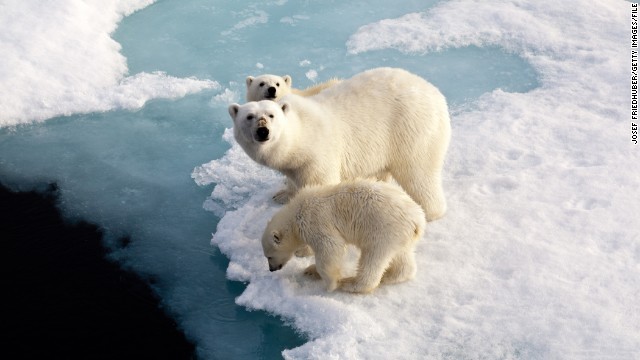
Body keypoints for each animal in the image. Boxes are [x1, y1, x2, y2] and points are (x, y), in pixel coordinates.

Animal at [230, 66, 450, 221]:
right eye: (249, 116)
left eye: (271, 115)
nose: (263, 131)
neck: (300, 133)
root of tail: (436, 94)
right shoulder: (295, 164)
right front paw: (282, 195)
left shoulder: (318, 155)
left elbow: (320, 187)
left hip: (411, 128)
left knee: (419, 173)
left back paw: (429, 212)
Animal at [260, 179, 424, 294]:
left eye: (269, 256)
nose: (271, 269)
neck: (296, 213)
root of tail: (417, 220)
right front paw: (310, 270)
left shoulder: (315, 222)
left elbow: (330, 248)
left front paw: (331, 283)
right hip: (399, 234)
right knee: (402, 256)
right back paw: (391, 275)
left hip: (382, 229)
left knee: (373, 257)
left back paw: (351, 284)